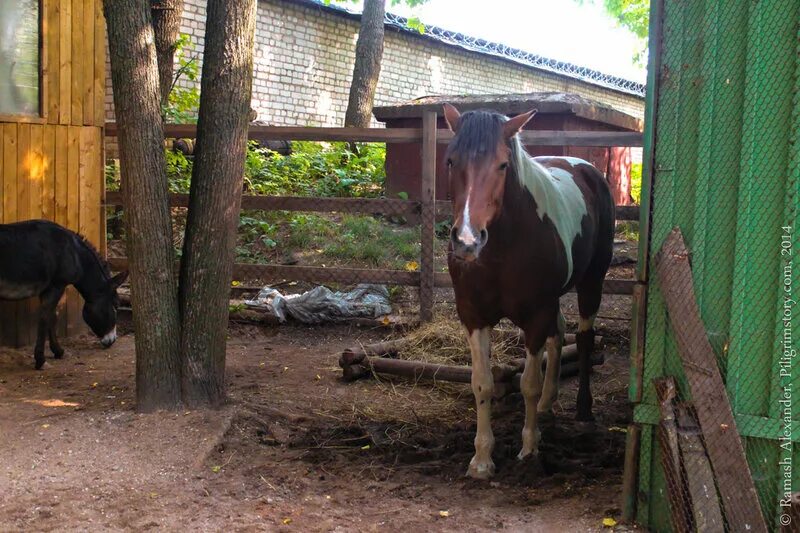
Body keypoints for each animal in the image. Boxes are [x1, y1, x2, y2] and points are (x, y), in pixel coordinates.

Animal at [0, 218, 127, 368]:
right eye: (116, 305)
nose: (112, 341)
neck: (75, 254)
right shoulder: (56, 285)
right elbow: (47, 318)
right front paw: (41, 360)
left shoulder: (46, 289)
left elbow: (51, 316)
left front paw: (57, 351)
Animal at [440, 104, 616, 478]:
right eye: (450, 161)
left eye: (502, 165)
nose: (467, 241)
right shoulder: (473, 317)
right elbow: (482, 382)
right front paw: (482, 458)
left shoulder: (536, 316)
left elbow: (528, 384)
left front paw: (530, 448)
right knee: (558, 333)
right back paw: (550, 402)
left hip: (592, 282)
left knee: (583, 339)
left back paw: (583, 411)